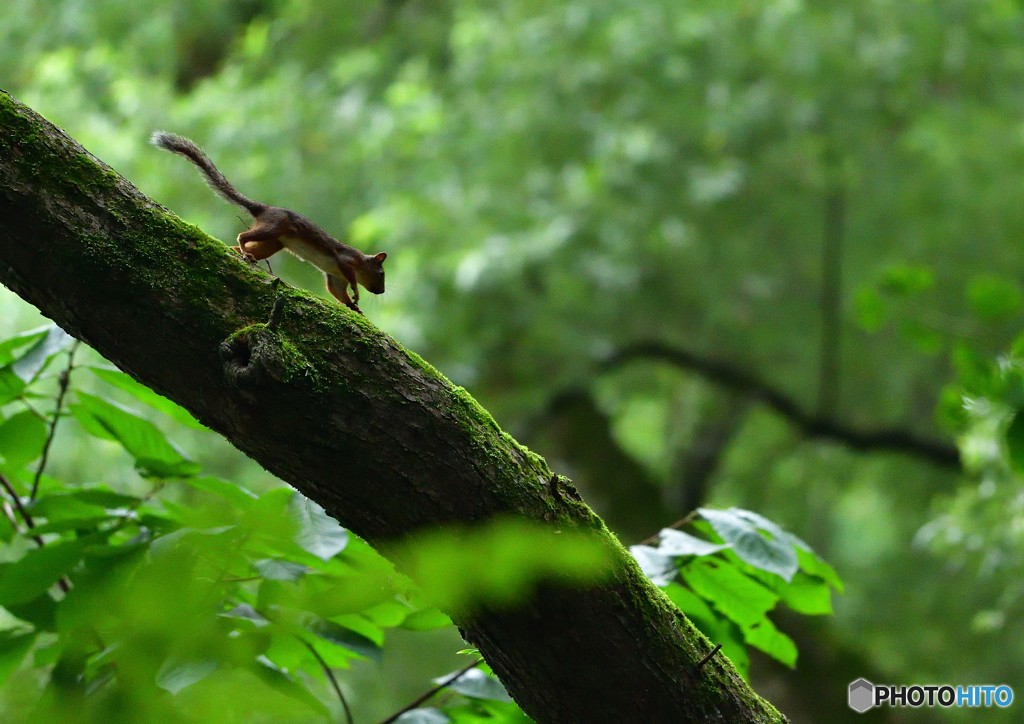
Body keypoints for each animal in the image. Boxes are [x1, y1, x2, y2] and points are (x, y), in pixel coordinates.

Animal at [151, 132, 387, 313]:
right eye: (382, 273)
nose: (382, 291)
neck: (362, 262)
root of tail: (263, 209)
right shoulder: (346, 261)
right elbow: (350, 278)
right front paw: (356, 292)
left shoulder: (335, 279)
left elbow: (337, 293)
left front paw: (354, 307)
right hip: (273, 227)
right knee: (243, 236)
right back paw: (245, 252)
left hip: (273, 243)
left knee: (243, 245)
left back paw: (241, 252)